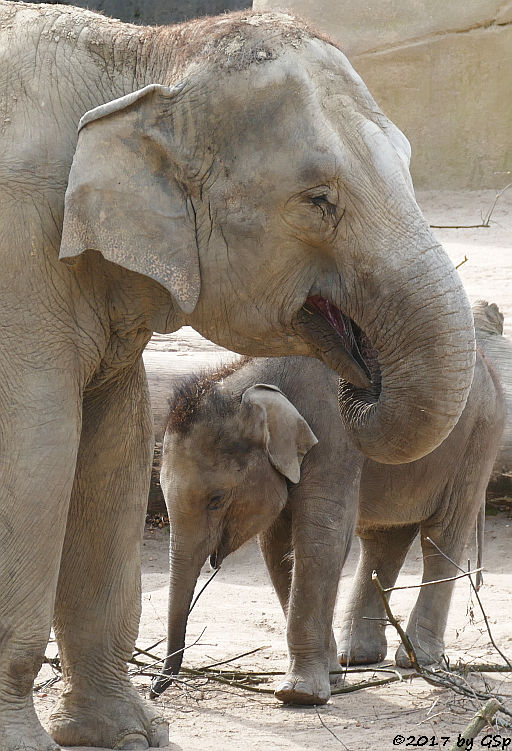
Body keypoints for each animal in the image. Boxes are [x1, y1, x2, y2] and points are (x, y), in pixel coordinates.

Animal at [152, 334, 504, 704]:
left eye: (216, 500)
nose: (155, 689)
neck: (248, 379)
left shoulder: (335, 437)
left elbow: (321, 536)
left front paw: (300, 696)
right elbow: (277, 548)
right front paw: (332, 677)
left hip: (478, 439)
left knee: (442, 535)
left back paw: (417, 660)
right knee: (383, 539)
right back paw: (358, 657)